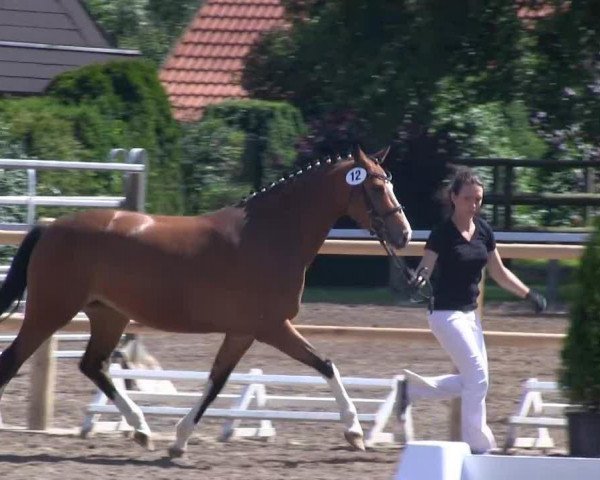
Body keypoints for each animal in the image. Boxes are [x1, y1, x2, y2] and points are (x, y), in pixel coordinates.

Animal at [0, 145, 410, 454]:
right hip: (50, 312)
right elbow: (324, 364)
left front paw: (179, 441)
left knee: (93, 365)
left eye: (390, 182)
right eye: (375, 187)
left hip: (109, 316)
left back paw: (142, 429)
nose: (404, 234)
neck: (269, 235)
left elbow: (217, 381)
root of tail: (51, 227)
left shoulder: (243, 332)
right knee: (13, 360)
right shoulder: (272, 327)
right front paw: (354, 431)